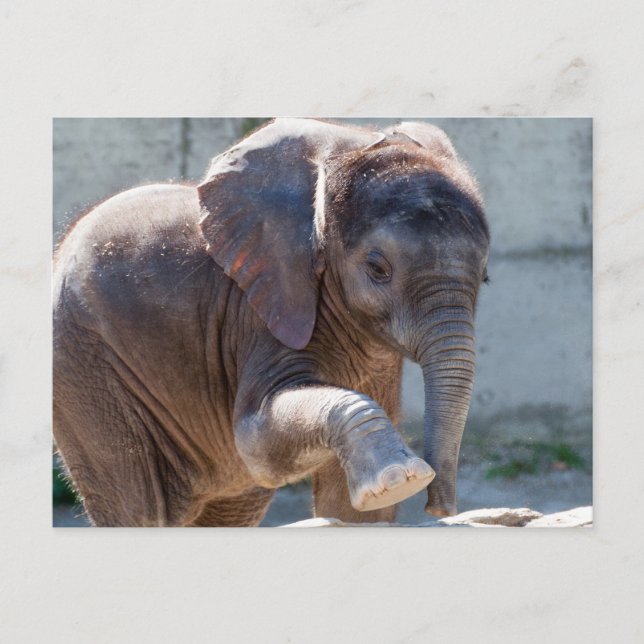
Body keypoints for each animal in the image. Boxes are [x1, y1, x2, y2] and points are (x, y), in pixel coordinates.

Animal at [53, 118, 489, 527]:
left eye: (485, 275)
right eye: (378, 269)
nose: (437, 508)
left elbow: (355, 511)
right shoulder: (259, 312)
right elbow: (256, 444)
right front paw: (401, 479)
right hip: (85, 370)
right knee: (138, 504)